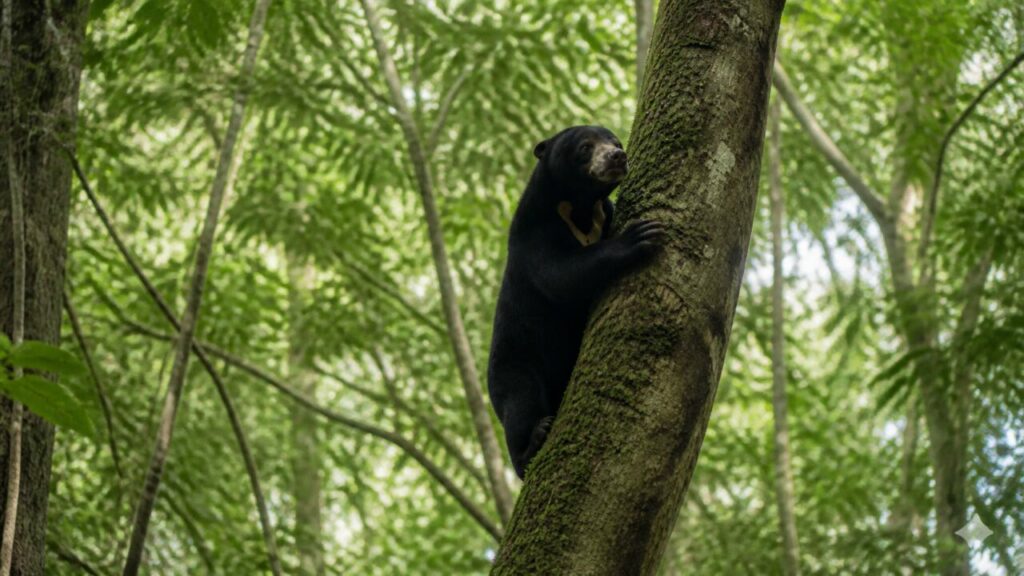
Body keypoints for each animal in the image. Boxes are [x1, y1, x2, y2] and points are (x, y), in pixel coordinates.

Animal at [487, 125, 665, 479]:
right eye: (585, 147)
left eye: (616, 141)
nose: (618, 156)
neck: (580, 207)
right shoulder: (534, 232)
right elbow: (562, 275)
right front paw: (640, 234)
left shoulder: (603, 213)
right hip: (512, 362)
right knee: (520, 402)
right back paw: (533, 443)